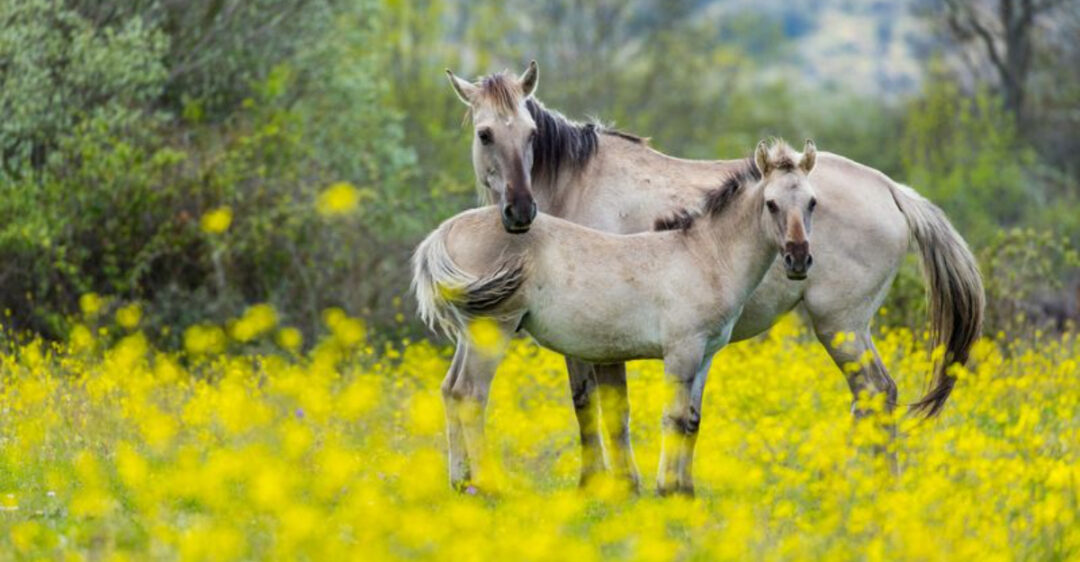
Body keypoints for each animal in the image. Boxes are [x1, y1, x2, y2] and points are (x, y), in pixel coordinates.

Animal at [415, 139, 820, 496]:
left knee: (450, 390)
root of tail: (446, 230)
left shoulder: (705, 354)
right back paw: (488, 485)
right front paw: (666, 489)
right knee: (470, 394)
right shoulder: (682, 351)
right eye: (771, 204)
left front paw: (686, 491)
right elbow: (672, 418)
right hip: (492, 330)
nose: (798, 259)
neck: (704, 254)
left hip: (469, 335)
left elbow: (691, 420)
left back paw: (460, 482)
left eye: (813, 202)